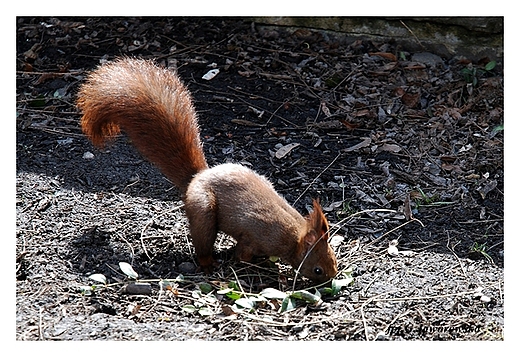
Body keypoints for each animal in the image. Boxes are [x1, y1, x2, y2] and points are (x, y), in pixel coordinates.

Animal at [76, 57, 338, 282]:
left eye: (333, 259)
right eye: (317, 269)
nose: (331, 279)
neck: (294, 234)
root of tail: (198, 177)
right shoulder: (255, 237)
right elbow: (243, 254)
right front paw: (260, 266)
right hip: (203, 210)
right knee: (202, 242)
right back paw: (209, 263)